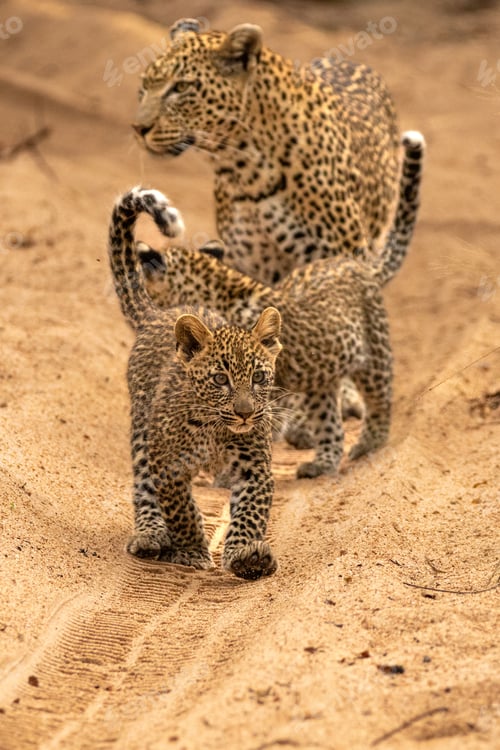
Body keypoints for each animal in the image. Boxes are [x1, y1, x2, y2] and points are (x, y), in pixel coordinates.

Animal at [109, 187, 283, 579]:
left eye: (259, 377)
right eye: (220, 379)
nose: (245, 414)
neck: (216, 429)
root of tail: (159, 315)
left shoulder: (254, 467)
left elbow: (249, 513)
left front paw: (247, 556)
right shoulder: (167, 464)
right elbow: (182, 509)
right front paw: (191, 551)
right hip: (142, 432)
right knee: (143, 488)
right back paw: (151, 535)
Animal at [136, 131, 425, 478]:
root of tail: (356, 264)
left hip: (373, 352)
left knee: (379, 399)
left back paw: (369, 445)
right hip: (320, 380)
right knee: (330, 423)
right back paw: (321, 464)